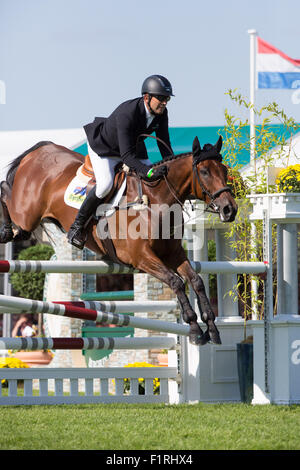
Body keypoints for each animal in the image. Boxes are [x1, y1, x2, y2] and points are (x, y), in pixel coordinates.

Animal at [1, 135, 238, 346]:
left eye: (225, 171)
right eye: (204, 172)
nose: (230, 209)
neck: (155, 201)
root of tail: (40, 150)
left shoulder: (173, 254)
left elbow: (196, 280)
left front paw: (213, 330)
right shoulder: (142, 258)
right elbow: (176, 282)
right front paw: (195, 330)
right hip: (25, 218)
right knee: (4, 190)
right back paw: (5, 231)